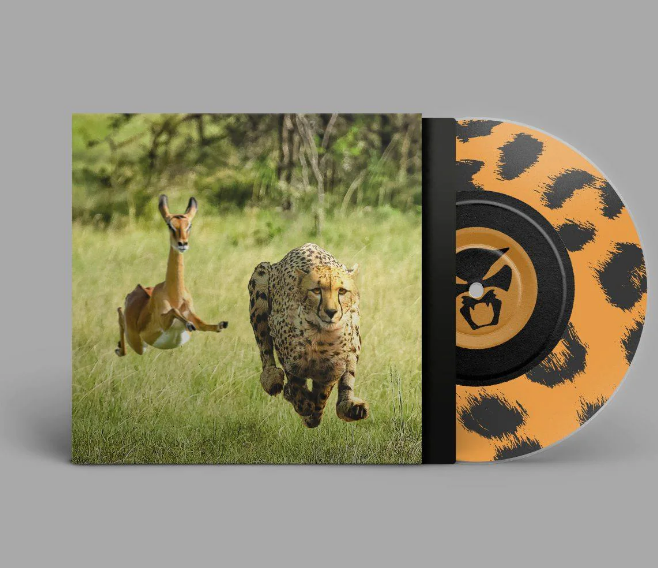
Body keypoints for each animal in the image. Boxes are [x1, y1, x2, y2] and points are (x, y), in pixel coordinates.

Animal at [115, 195, 228, 356]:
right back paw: (118, 348)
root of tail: (135, 290)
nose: (182, 244)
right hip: (138, 344)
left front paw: (221, 324)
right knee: (120, 315)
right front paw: (189, 324)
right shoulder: (164, 321)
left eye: (189, 225)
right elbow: (175, 312)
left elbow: (205, 325)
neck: (174, 296)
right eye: (170, 225)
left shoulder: (192, 314)